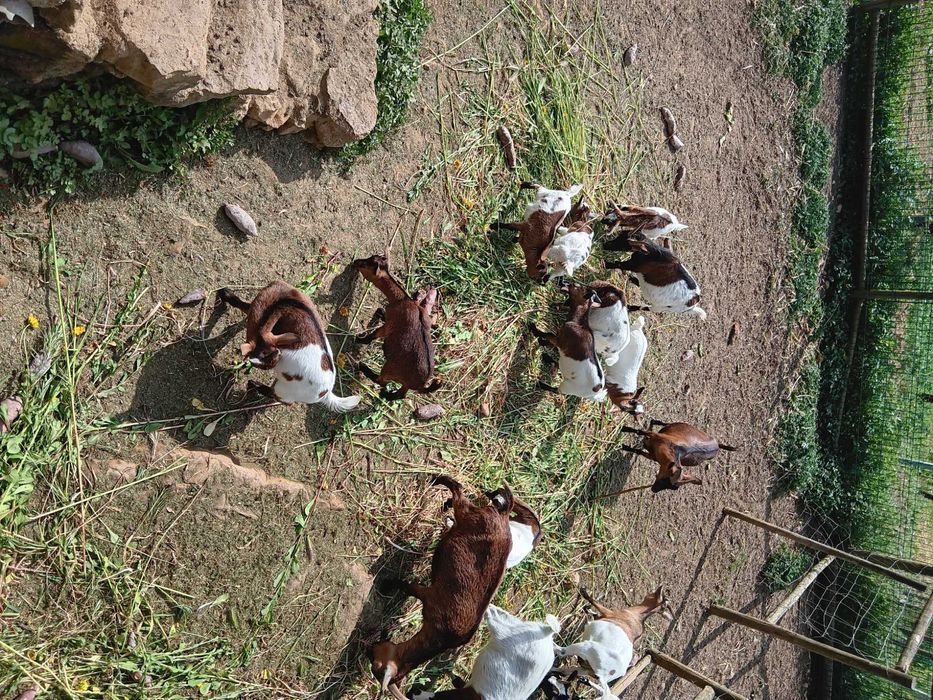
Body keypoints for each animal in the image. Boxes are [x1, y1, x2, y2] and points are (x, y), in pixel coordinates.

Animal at [216, 283, 360, 412]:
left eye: (265, 364)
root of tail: (326, 393)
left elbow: (243, 306)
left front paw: (224, 293)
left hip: (284, 390)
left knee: (282, 399)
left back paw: (253, 384)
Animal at [352, 255, 441, 401]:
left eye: (365, 264)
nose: (355, 262)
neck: (401, 299)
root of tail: (422, 384)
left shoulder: (388, 327)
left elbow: (374, 334)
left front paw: (359, 339)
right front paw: (380, 312)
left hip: (390, 368)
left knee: (381, 381)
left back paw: (363, 367)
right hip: (404, 382)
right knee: (401, 394)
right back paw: (386, 395)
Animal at [370, 476, 513, 698]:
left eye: (375, 663)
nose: (369, 647)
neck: (441, 636)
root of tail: (503, 515)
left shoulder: (429, 595)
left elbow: (407, 586)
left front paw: (386, 585)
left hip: (468, 515)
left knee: (459, 492)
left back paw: (441, 489)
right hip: (470, 513)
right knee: (458, 490)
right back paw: (440, 488)